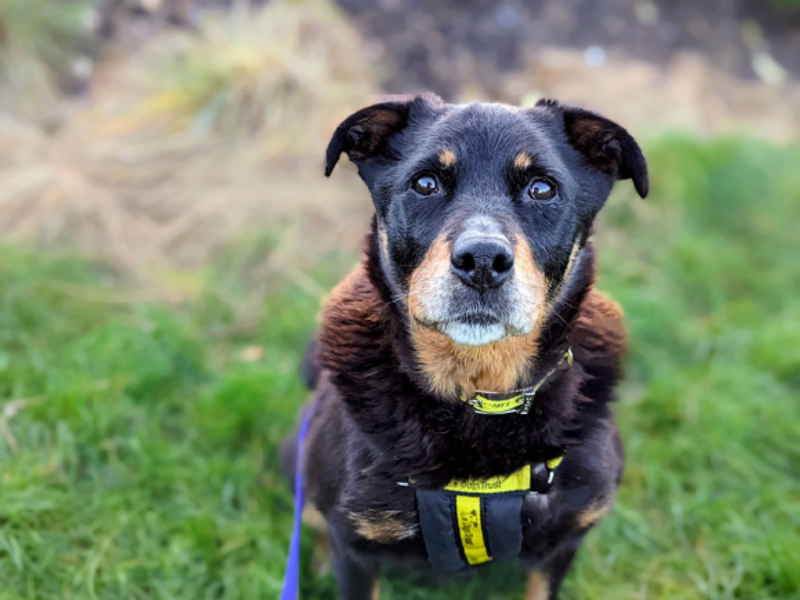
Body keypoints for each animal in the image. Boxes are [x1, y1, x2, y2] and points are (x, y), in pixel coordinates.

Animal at [280, 94, 644, 600]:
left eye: (542, 189)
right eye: (425, 184)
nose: (483, 261)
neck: (478, 395)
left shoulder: (566, 537)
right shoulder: (355, 544)